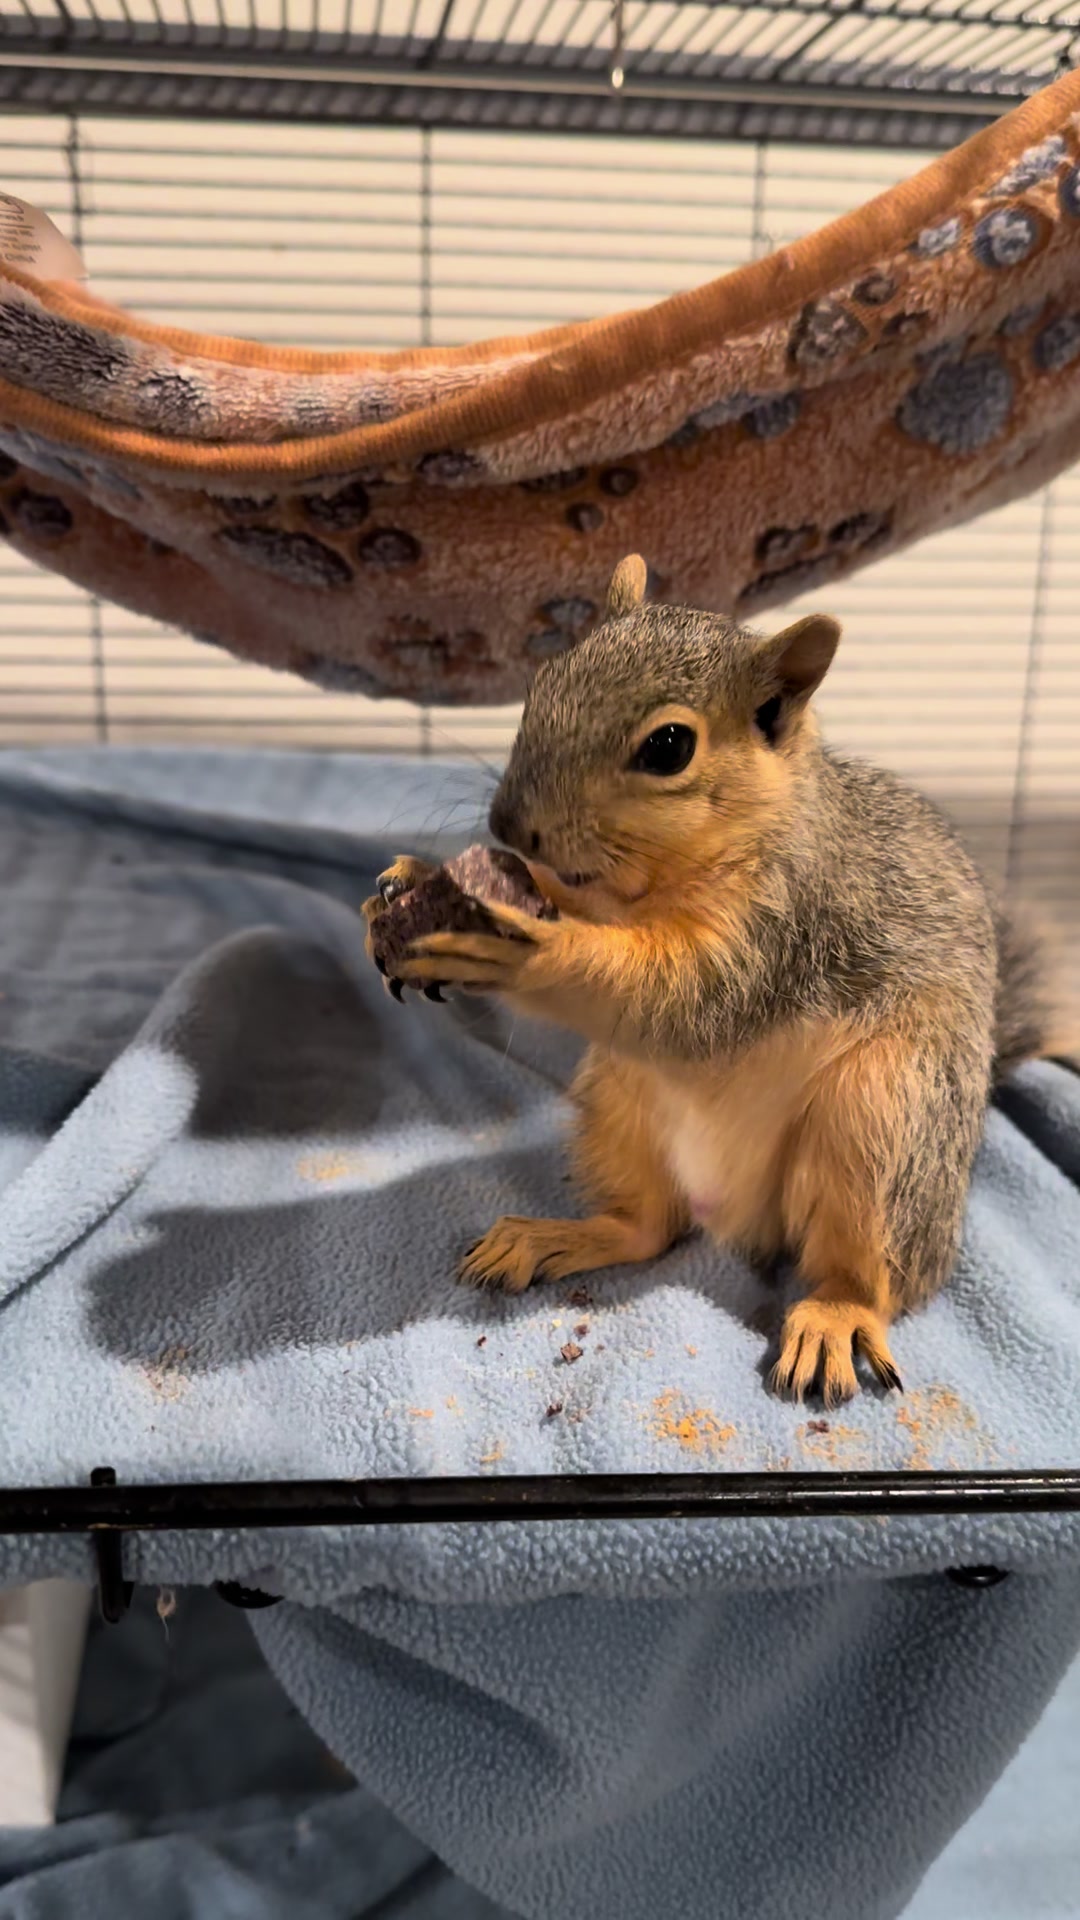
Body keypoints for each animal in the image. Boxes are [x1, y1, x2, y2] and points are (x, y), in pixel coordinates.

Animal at [364, 553, 1068, 1406]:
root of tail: (736, 1214)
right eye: (542, 682)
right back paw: (554, 1236)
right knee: (650, 1228)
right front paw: (413, 882)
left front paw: (523, 948)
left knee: (861, 1272)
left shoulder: (784, 925)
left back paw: (834, 1318)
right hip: (620, 1106)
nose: (508, 828)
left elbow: (684, 1000)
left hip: (882, 1121)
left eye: (669, 747)